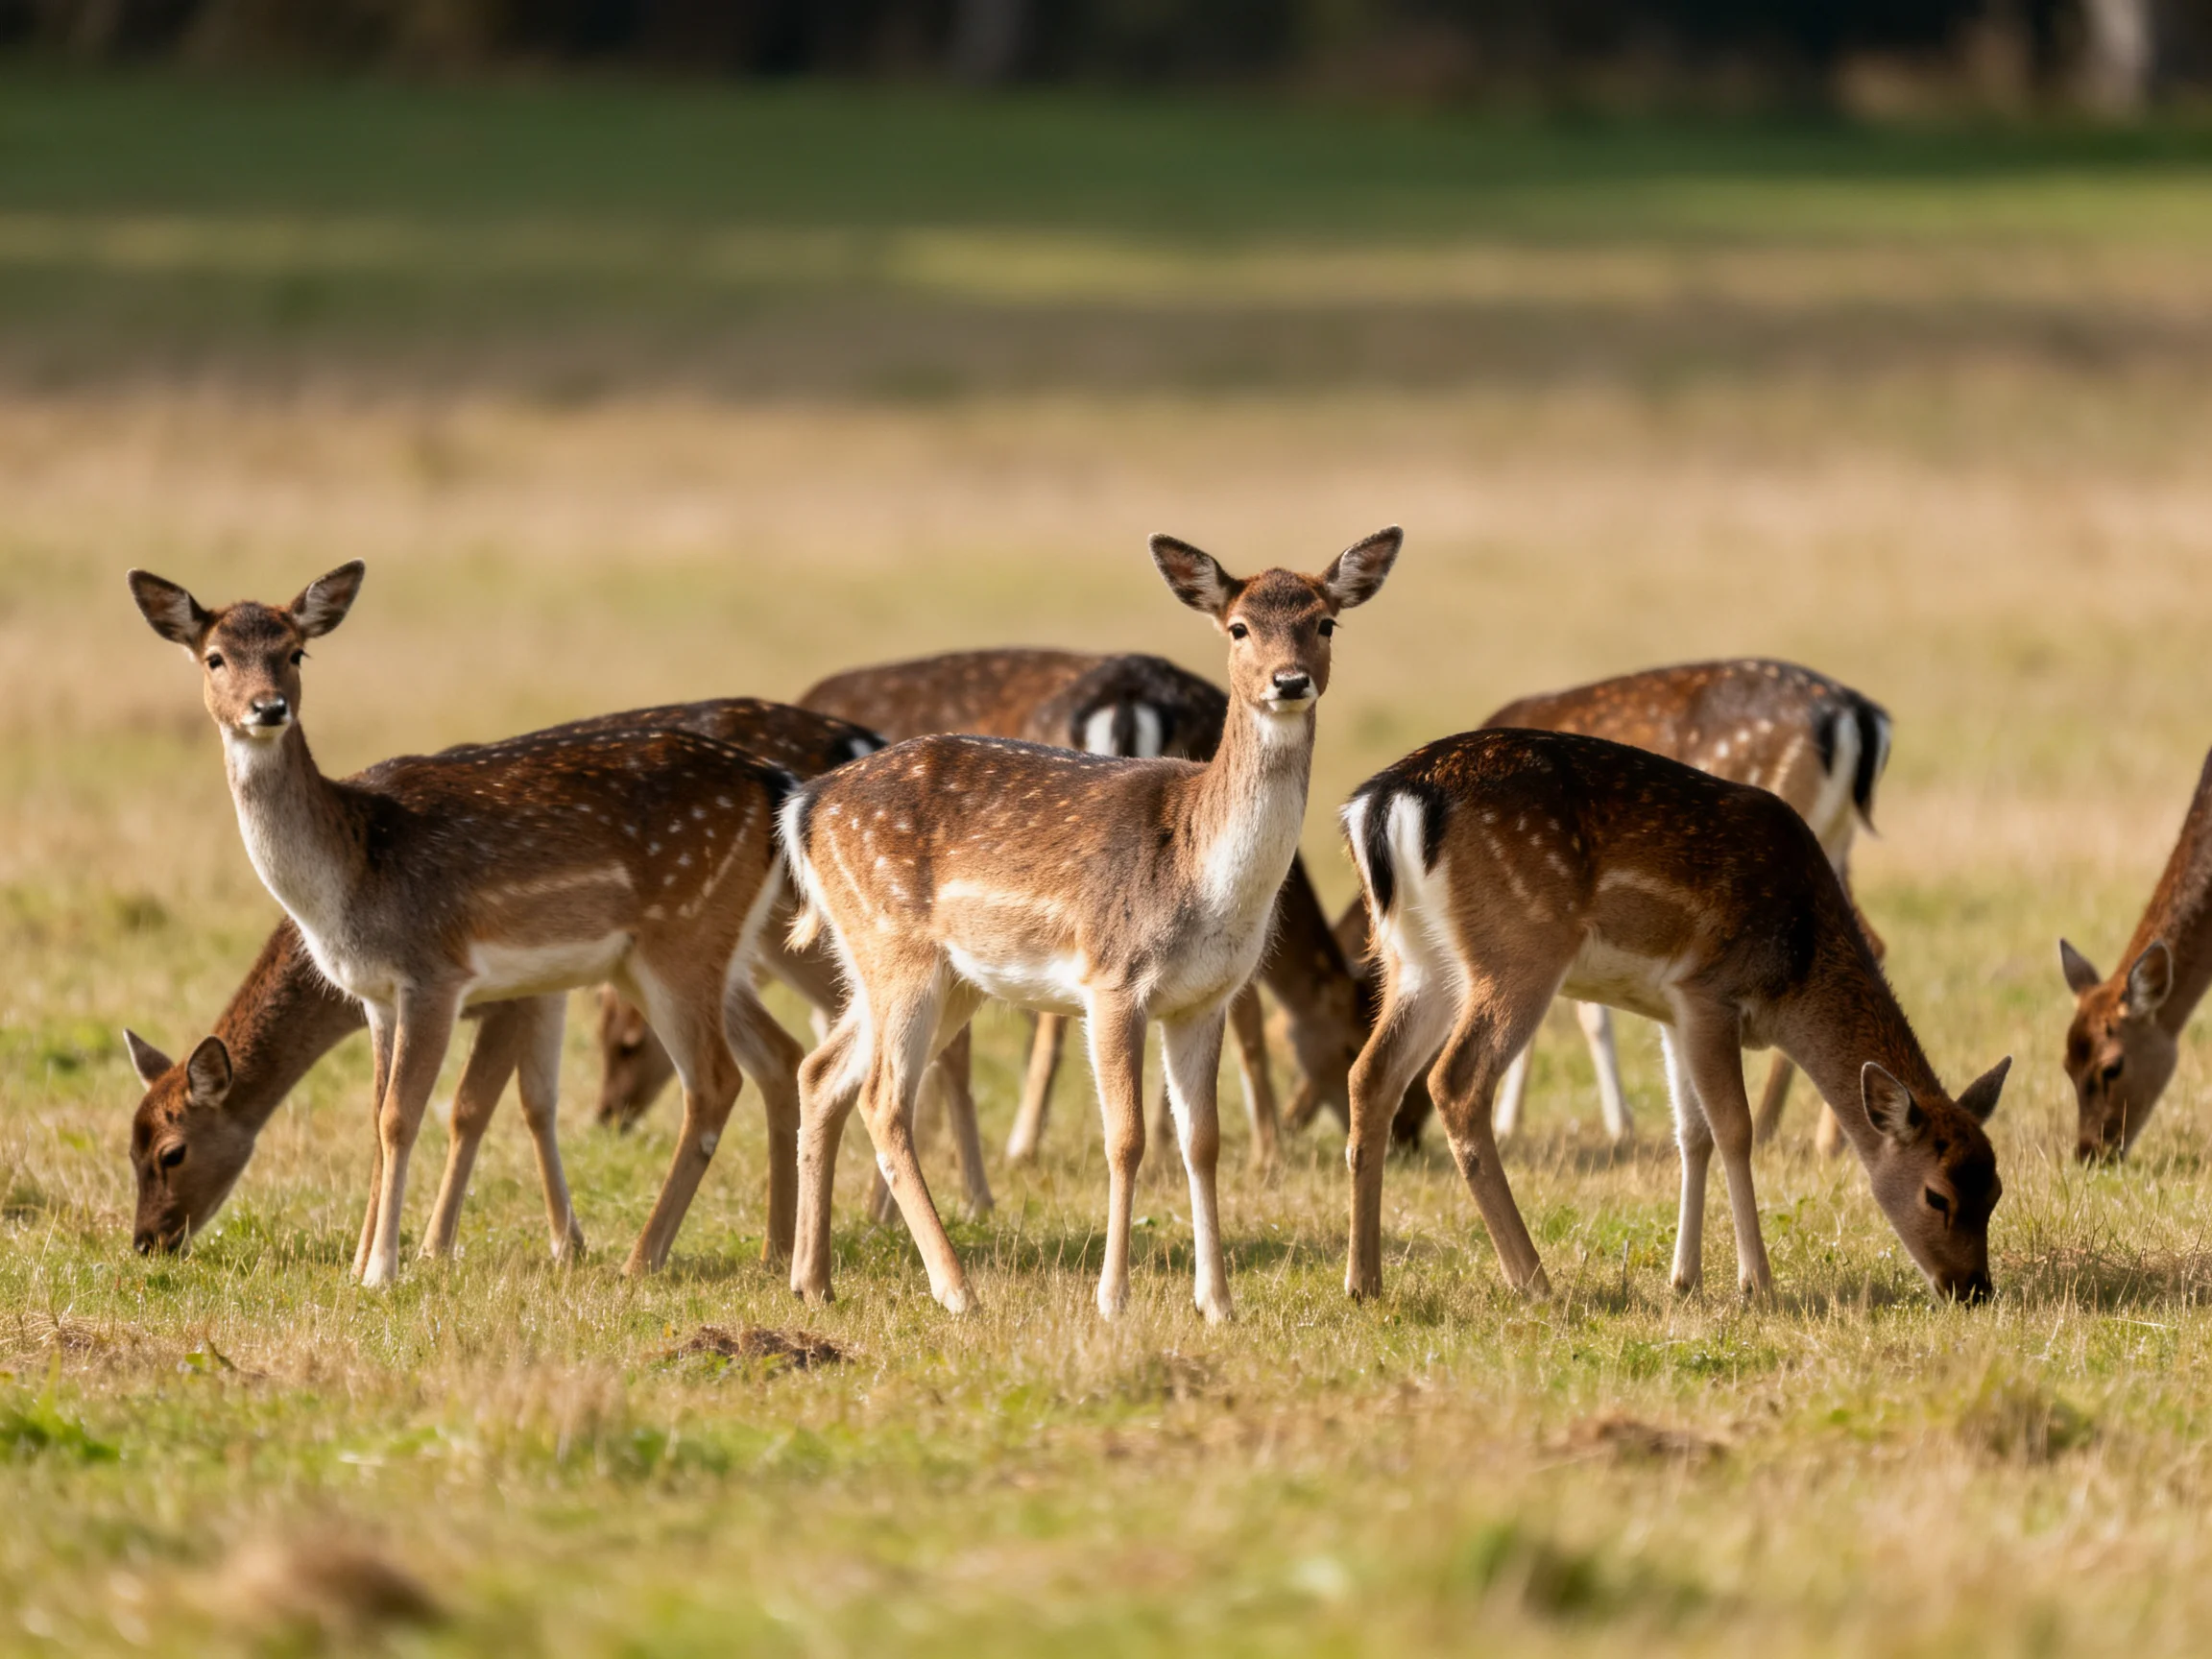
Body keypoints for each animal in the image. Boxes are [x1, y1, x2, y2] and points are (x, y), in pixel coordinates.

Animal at [128, 562, 805, 1288]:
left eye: (295, 652)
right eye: (214, 657)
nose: (268, 707)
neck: (352, 873)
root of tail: (773, 781)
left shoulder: (436, 972)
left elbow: (405, 1116)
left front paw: (385, 1269)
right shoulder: (377, 996)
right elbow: (377, 1118)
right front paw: (359, 1263)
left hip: (679, 939)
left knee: (714, 1082)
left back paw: (641, 1259)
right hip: (695, 955)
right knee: (779, 1056)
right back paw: (773, 1254)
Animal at [781, 528, 1402, 1320]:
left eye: (1325, 622)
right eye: (1238, 627)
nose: (1289, 681)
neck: (1201, 870)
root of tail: (805, 808)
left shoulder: (1204, 999)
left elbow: (1203, 1140)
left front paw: (1217, 1303)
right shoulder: (1113, 978)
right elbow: (1126, 1138)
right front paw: (1113, 1298)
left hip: (931, 973)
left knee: (822, 1072)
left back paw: (813, 1280)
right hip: (897, 947)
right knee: (883, 1099)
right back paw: (955, 1288)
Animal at [1339, 728, 2007, 1306]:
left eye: (1997, 1190)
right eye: (1937, 1195)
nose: (1973, 1288)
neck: (1796, 970)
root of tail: (1381, 803)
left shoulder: (1671, 1012)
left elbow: (1693, 1133)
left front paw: (1685, 1279)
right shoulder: (1707, 991)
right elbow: (1735, 1129)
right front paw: (1756, 1283)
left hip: (1415, 957)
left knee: (1371, 1075)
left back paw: (1364, 1281)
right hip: (1519, 947)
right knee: (1454, 1081)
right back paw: (1534, 1280)